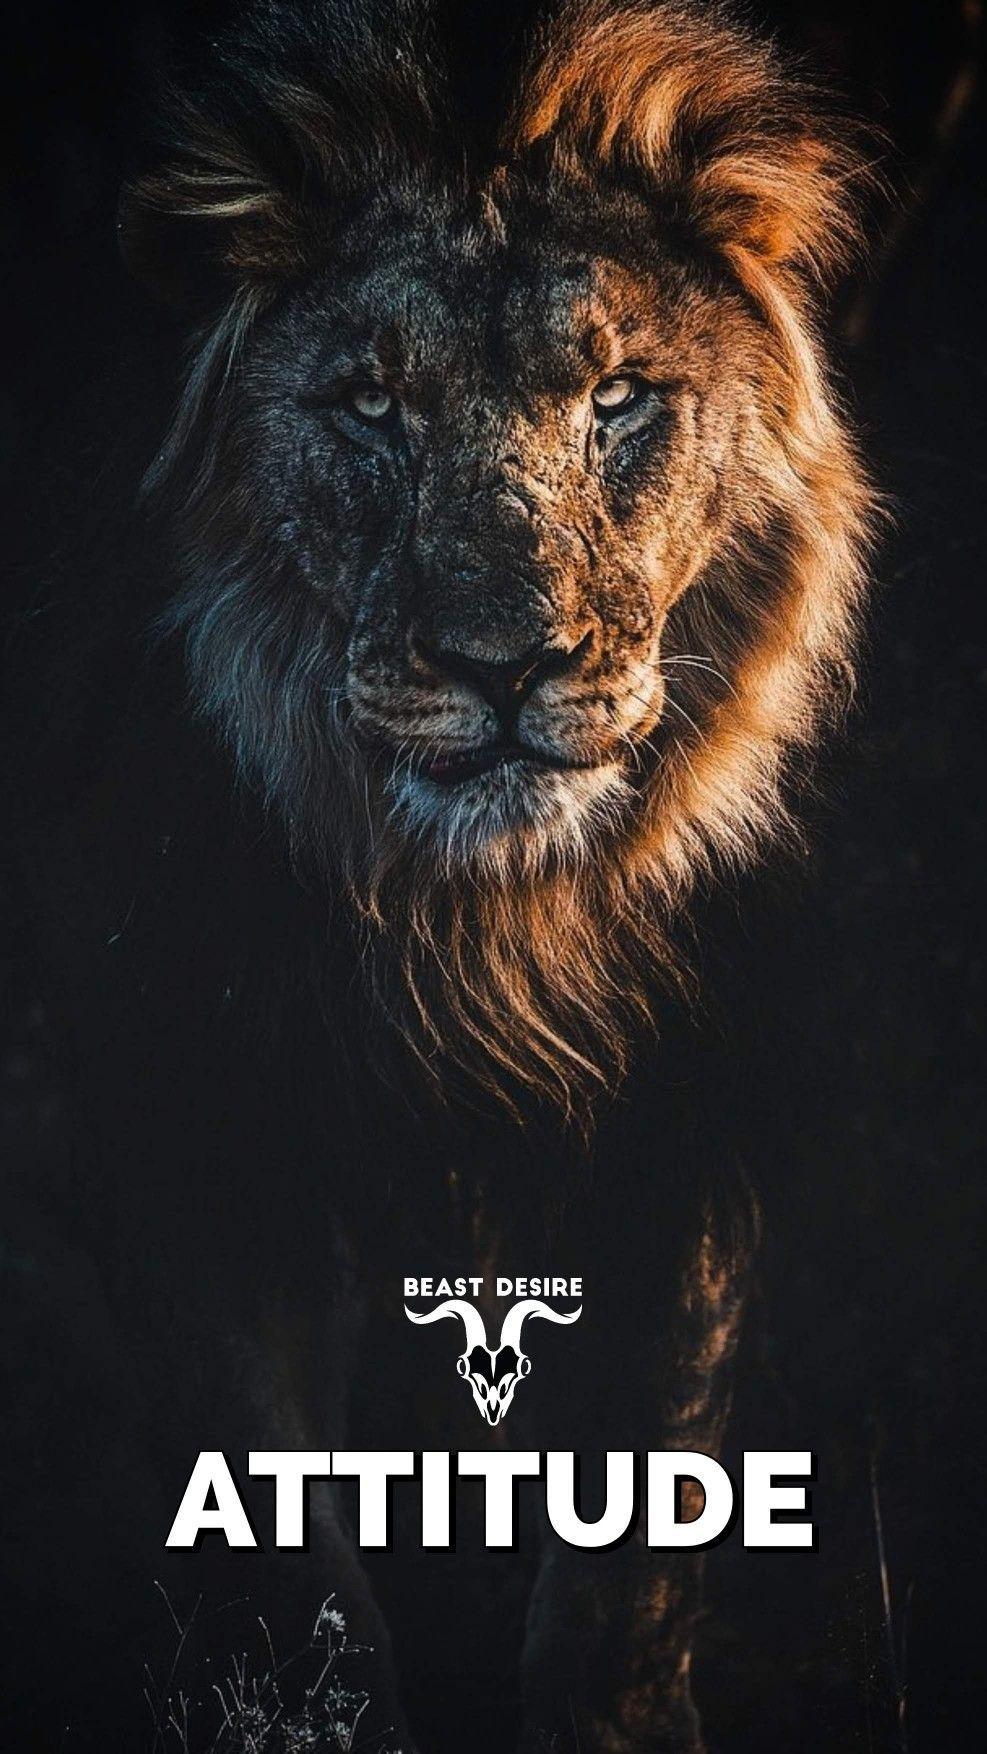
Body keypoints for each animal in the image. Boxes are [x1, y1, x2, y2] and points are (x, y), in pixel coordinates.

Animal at [4, 2, 876, 1750]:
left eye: (618, 396)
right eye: (367, 406)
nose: (504, 665)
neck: (478, 921)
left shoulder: (702, 1107)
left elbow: (633, 1542)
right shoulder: (181, 1110)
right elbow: (286, 1555)